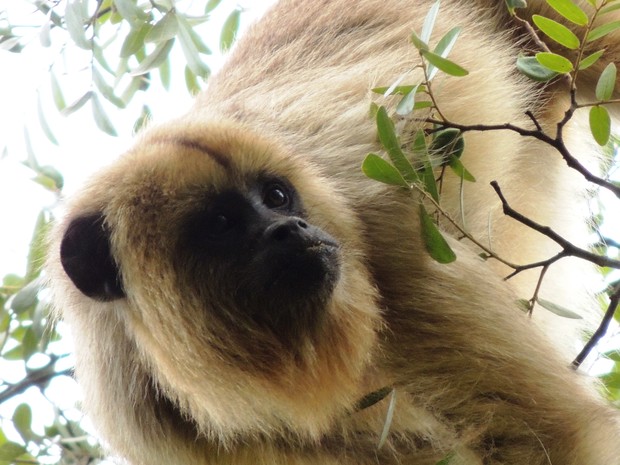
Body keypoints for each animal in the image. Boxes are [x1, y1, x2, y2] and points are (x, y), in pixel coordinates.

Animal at [47, 0, 620, 464]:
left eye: (276, 197)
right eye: (221, 224)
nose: (292, 227)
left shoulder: (395, 255)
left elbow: (550, 437)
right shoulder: (148, 421)